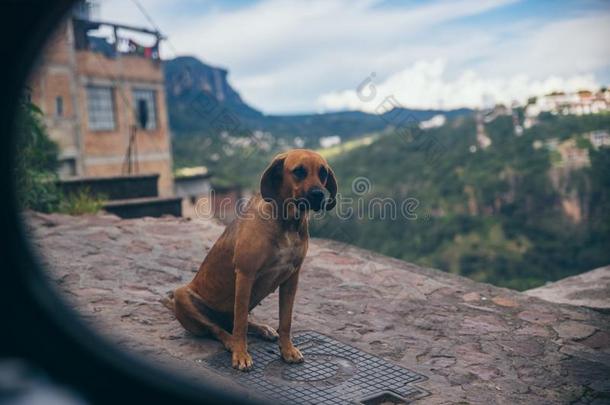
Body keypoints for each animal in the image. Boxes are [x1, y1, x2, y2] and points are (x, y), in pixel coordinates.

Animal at [167, 148, 338, 370]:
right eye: (299, 171)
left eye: (323, 173)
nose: (318, 194)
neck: (286, 221)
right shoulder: (245, 275)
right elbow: (239, 324)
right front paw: (240, 353)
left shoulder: (292, 279)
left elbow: (286, 321)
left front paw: (287, 349)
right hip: (183, 296)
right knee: (219, 329)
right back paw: (231, 341)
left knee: (237, 322)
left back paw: (263, 329)